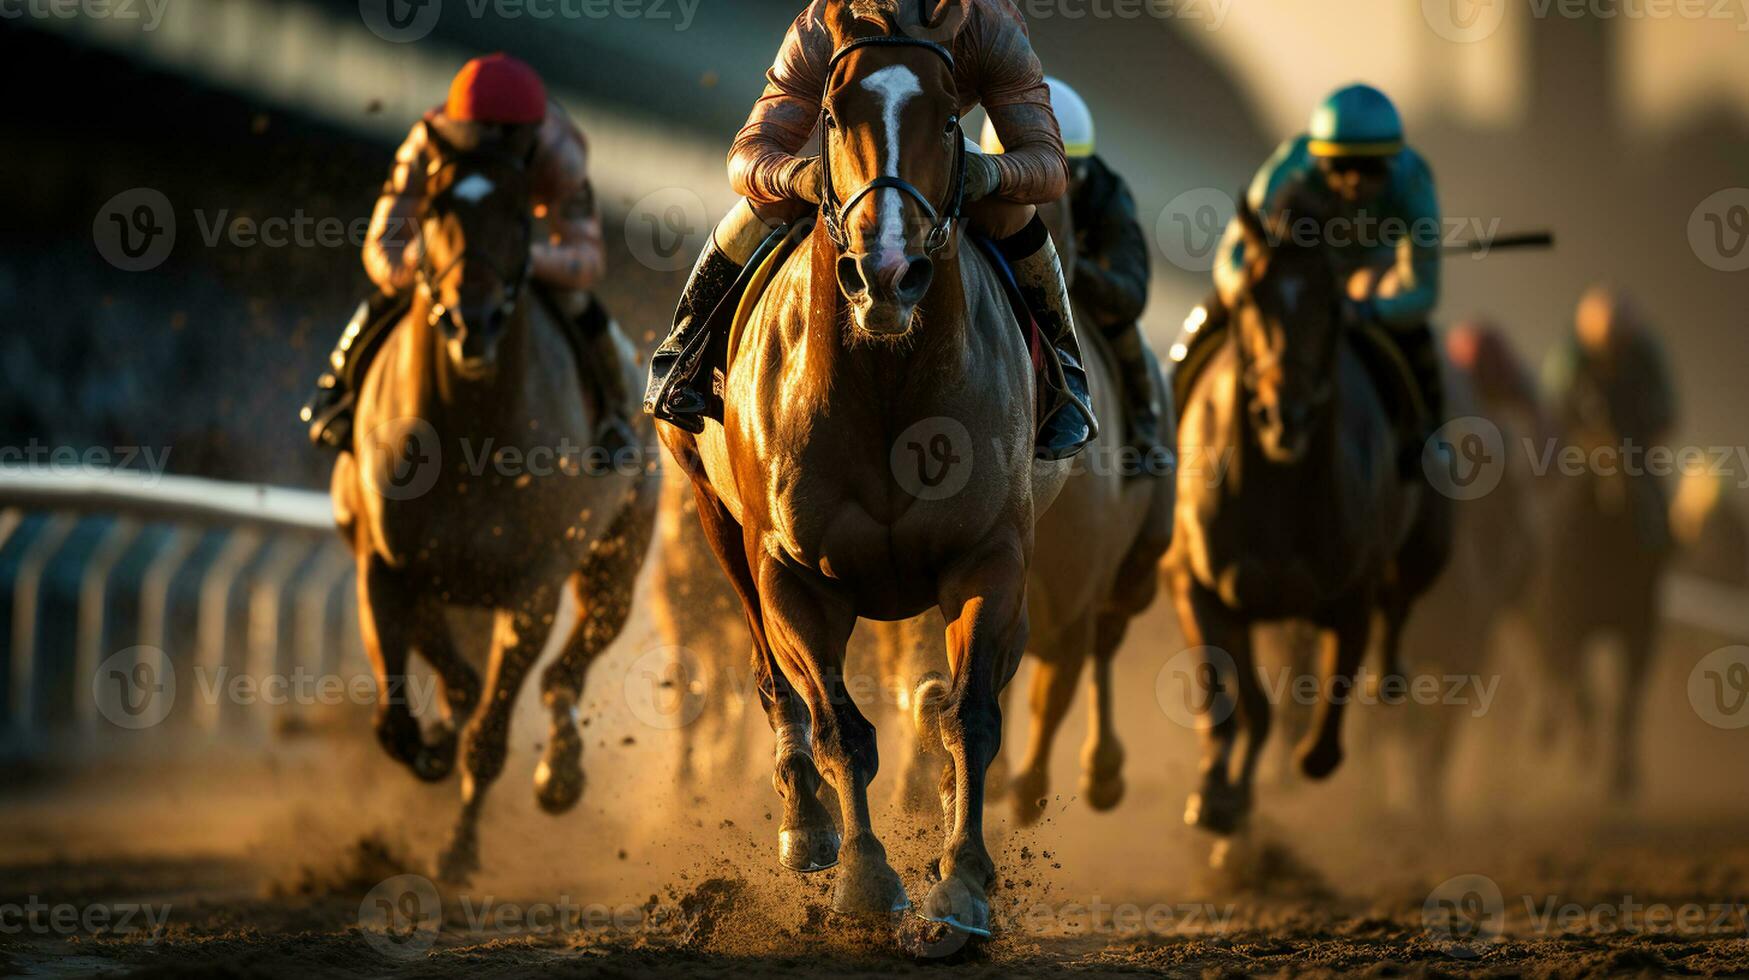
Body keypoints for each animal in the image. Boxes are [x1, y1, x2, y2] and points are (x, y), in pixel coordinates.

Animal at [330, 135, 657, 882]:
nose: (470, 322)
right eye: (435, 208)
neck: (467, 434)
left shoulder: (531, 589)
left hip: (616, 563)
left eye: (518, 211)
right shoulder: (385, 566)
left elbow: (491, 729)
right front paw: (430, 743)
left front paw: (458, 852)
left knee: (568, 671)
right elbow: (403, 717)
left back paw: (559, 774)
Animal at [1161, 201, 1448, 850]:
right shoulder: (1198, 582)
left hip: (1427, 546)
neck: (1276, 489)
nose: (1282, 414)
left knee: (1401, 598)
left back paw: (1389, 677)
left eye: (1332, 304)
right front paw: (1218, 796)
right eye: (1249, 298)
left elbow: (1317, 745)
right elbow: (1234, 699)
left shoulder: (1348, 599)